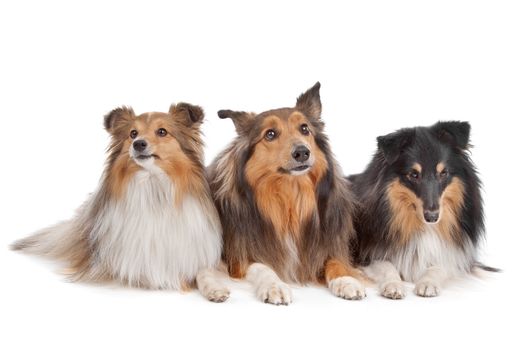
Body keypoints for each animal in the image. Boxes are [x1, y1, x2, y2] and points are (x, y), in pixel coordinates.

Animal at [10, 102, 229, 302]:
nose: (138, 143)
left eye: (162, 132)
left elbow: (203, 271)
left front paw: (215, 289)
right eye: (133, 133)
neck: (153, 187)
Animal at [208, 83, 364, 304]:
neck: (289, 196)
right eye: (270, 134)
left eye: (305, 128)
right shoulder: (239, 256)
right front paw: (274, 286)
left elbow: (336, 262)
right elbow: (262, 267)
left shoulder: (328, 244)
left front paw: (347, 281)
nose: (302, 152)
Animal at [348, 120, 496, 298]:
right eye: (413, 174)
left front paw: (427, 283)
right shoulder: (366, 255)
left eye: (443, 173)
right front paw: (393, 284)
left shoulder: (456, 258)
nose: (432, 217)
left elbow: (440, 265)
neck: (422, 226)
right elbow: (385, 265)